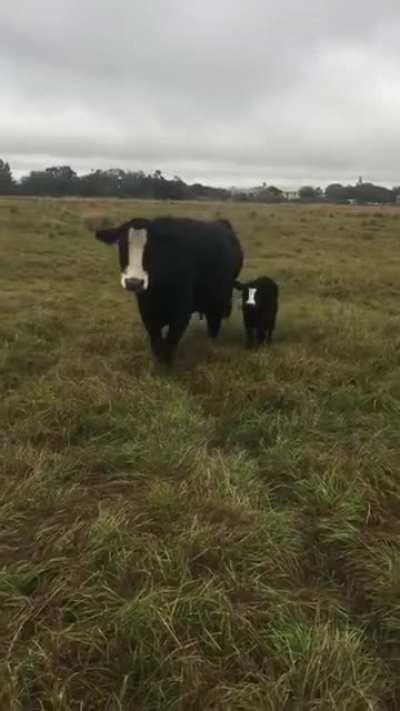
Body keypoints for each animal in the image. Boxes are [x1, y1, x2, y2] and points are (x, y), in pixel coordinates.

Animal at [94, 216, 243, 364]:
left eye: (152, 248)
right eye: (122, 246)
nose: (133, 283)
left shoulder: (181, 315)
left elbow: (169, 345)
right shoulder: (148, 314)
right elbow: (157, 344)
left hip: (219, 298)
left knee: (214, 323)